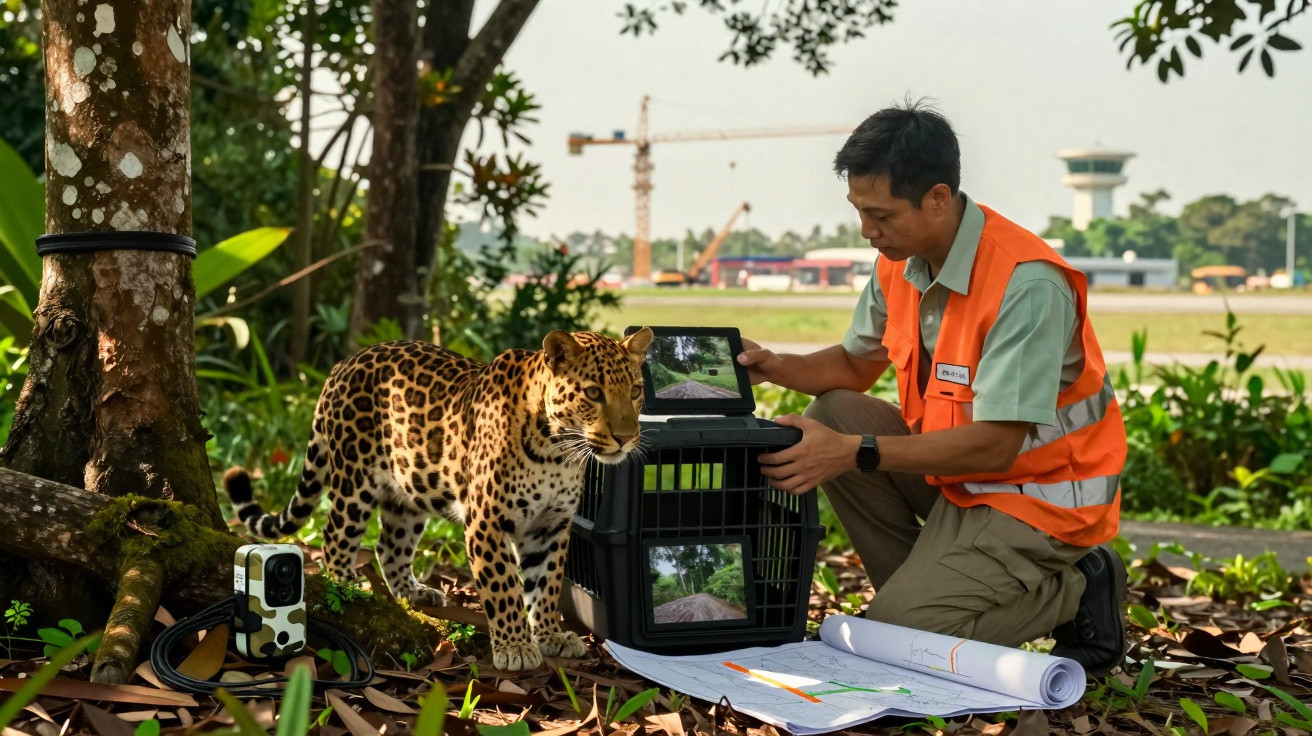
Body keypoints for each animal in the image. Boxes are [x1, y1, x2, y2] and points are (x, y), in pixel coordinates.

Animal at [224, 327, 653, 671]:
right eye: (593, 393)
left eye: (635, 391)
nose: (626, 437)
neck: (558, 452)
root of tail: (343, 364)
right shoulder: (487, 522)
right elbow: (505, 588)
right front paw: (515, 646)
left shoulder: (551, 526)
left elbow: (545, 585)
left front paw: (549, 635)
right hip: (353, 479)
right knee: (335, 540)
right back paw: (348, 589)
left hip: (407, 492)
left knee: (388, 546)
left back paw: (413, 593)